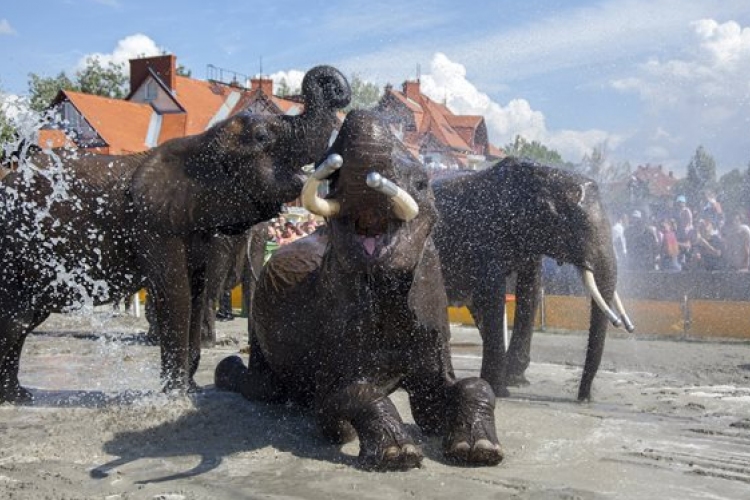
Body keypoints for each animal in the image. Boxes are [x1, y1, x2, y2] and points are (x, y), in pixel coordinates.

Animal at [0, 65, 352, 402]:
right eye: (263, 137)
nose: (339, 92)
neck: (199, 143)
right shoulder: (154, 223)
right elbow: (176, 292)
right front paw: (176, 393)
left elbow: (196, 290)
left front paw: (191, 389)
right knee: (16, 319)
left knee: (21, 320)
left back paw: (18, 396)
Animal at [214, 110, 502, 472]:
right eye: (332, 184)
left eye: (422, 183)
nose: (359, 113)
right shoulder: (335, 323)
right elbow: (344, 396)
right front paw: (395, 454)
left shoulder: (430, 312)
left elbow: (444, 401)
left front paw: (479, 449)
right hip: (258, 323)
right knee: (263, 387)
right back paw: (227, 371)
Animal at [432, 158, 636, 400]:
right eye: (580, 227)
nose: (583, 398)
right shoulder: (484, 237)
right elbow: (493, 296)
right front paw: (500, 390)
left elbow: (531, 290)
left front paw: (516, 382)